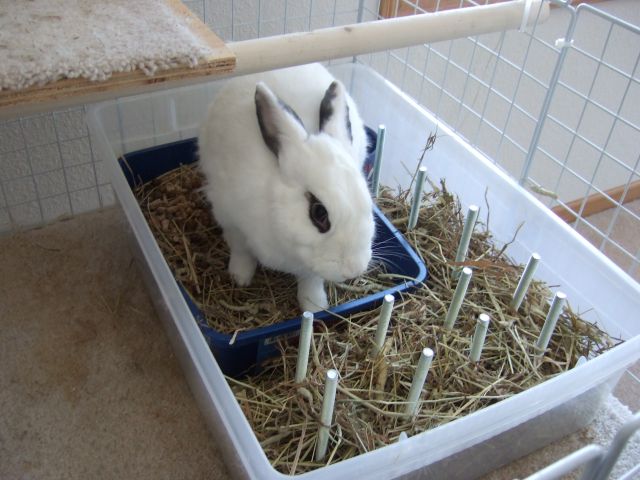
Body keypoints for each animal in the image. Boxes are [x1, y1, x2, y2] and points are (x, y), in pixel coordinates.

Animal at [200, 62, 376, 312]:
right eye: (319, 213)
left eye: (368, 204)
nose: (354, 269)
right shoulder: (231, 221)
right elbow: (241, 251)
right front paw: (239, 277)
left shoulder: (310, 266)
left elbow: (311, 280)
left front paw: (314, 307)